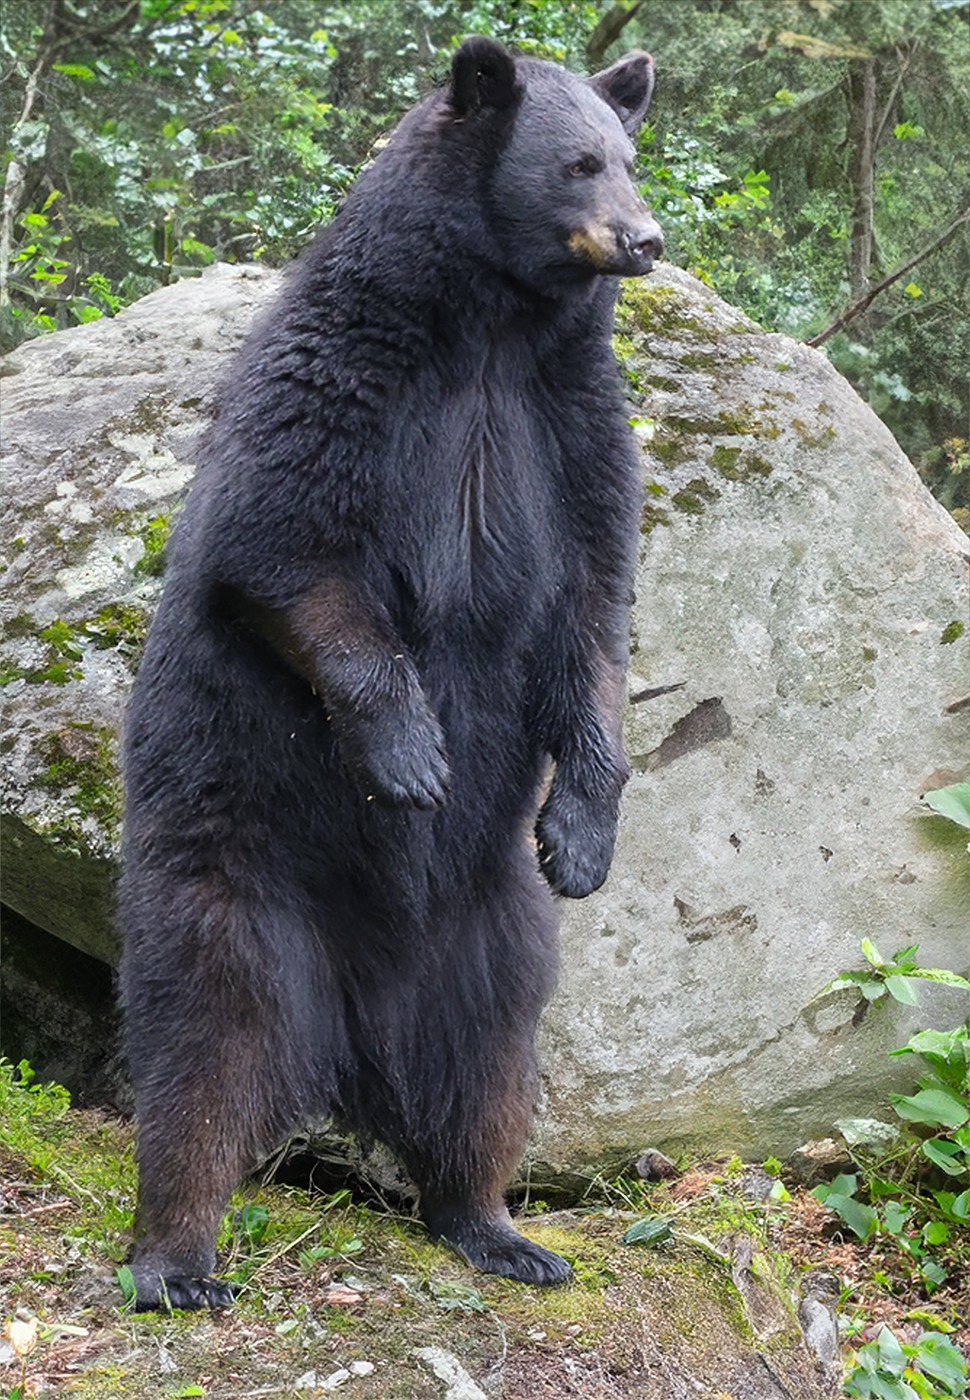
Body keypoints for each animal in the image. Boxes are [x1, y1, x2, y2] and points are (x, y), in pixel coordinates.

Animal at [119, 34, 662, 1311]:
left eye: (628, 157)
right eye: (576, 164)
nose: (646, 238)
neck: (490, 329)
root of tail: (353, 1031)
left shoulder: (568, 426)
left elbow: (590, 609)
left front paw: (584, 829)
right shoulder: (346, 381)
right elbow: (286, 549)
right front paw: (411, 753)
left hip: (490, 926)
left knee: (486, 1073)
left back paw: (499, 1225)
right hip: (239, 878)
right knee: (205, 1050)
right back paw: (176, 1255)